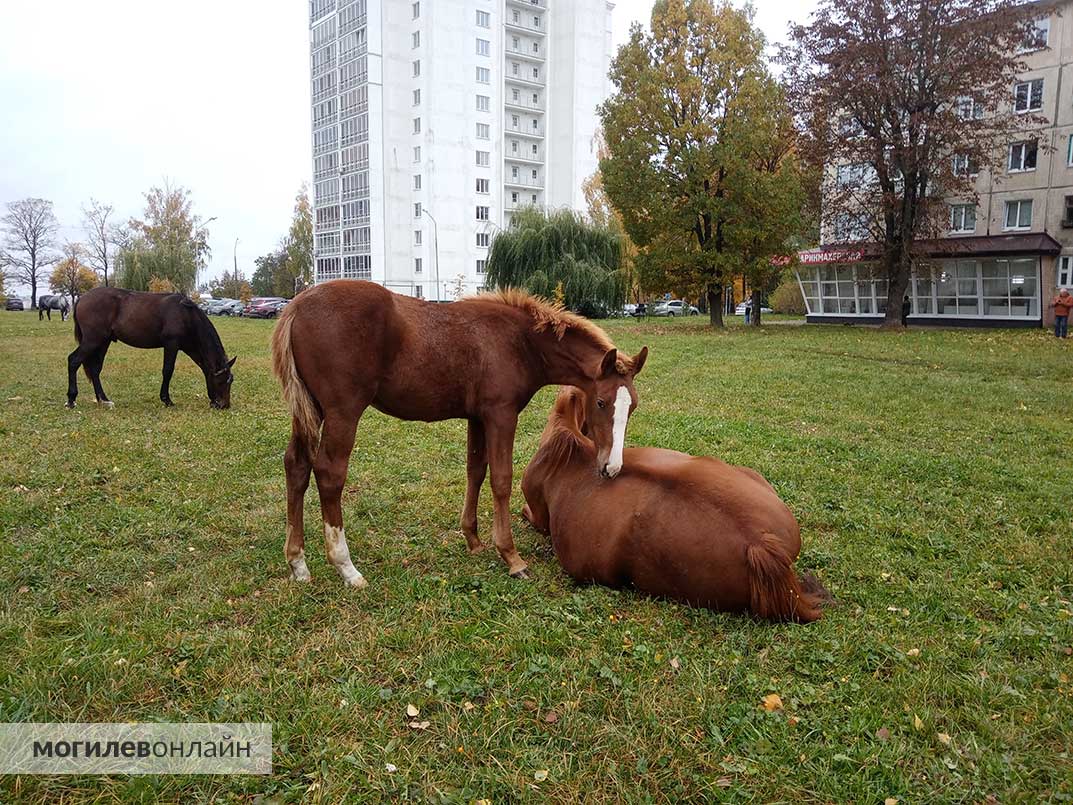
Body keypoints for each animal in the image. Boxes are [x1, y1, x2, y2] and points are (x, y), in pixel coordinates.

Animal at [67, 287, 237, 410]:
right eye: (224, 381)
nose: (224, 405)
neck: (186, 315)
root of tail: (82, 298)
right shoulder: (171, 344)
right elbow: (168, 370)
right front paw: (167, 400)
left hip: (103, 342)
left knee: (95, 369)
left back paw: (103, 400)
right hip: (93, 340)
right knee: (73, 361)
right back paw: (71, 400)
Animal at [272, 281, 648, 588]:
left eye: (633, 406)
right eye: (600, 402)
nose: (611, 467)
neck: (520, 343)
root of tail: (296, 306)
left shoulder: (478, 417)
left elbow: (475, 471)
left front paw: (473, 540)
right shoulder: (501, 414)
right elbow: (501, 479)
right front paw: (511, 557)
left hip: (310, 410)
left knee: (297, 465)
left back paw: (298, 564)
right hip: (343, 411)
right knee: (329, 473)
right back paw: (346, 568)